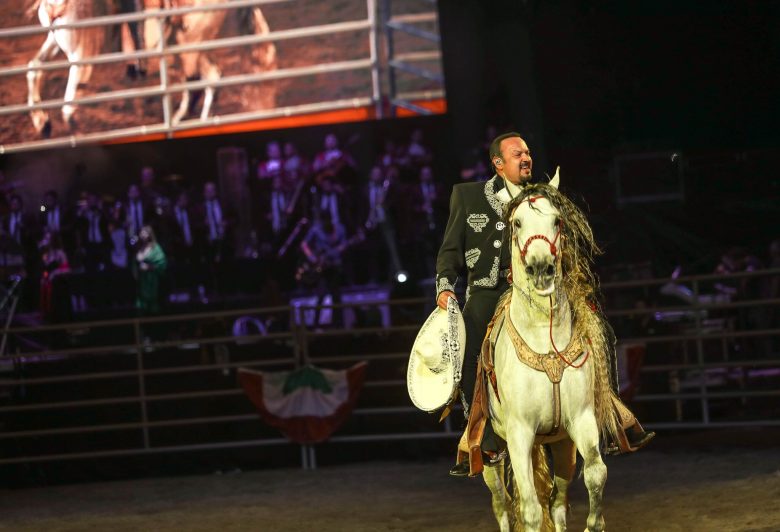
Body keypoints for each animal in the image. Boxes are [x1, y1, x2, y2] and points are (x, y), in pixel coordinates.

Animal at [25, 1, 276, 137]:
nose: (54, 10)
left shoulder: (82, 56)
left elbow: (68, 109)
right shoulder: (55, 40)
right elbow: (33, 68)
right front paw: (42, 122)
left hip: (189, 43)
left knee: (197, 82)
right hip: (186, 42)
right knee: (211, 76)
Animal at [478, 172, 624, 528]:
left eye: (557, 220)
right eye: (517, 222)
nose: (541, 267)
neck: (543, 339)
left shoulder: (580, 420)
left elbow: (596, 474)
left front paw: (594, 524)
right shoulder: (519, 432)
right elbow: (530, 509)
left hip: (560, 443)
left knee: (557, 501)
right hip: (493, 452)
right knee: (502, 503)